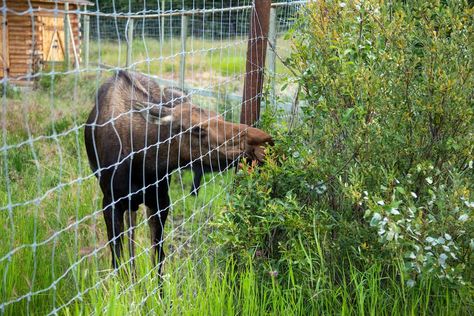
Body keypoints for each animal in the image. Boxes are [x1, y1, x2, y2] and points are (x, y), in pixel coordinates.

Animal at [83, 71, 272, 274]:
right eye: (197, 129)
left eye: (218, 116)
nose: (263, 140)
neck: (142, 166)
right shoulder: (110, 203)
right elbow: (118, 264)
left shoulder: (161, 200)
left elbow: (158, 260)